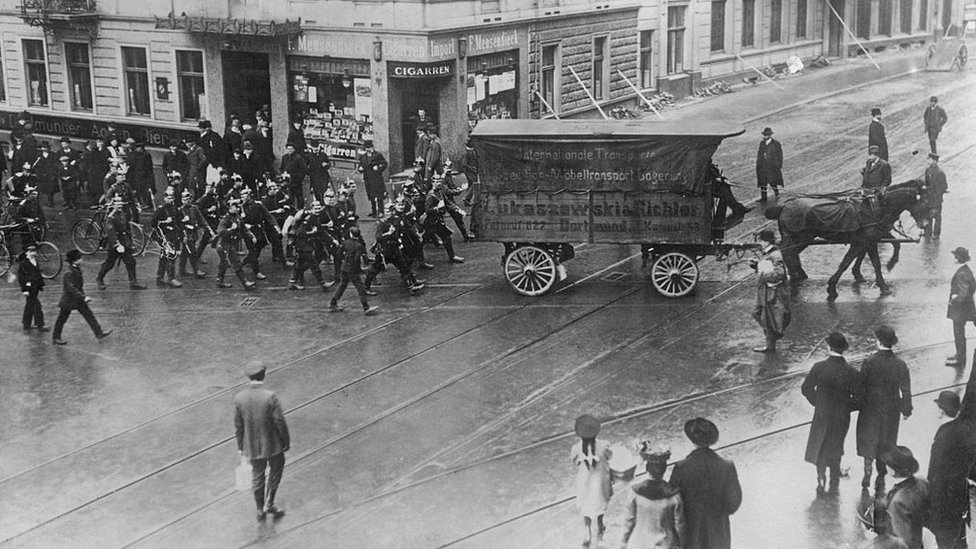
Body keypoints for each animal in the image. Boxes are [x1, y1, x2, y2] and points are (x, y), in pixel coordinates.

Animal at [764, 180, 932, 300]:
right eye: (924, 203)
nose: (925, 225)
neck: (877, 206)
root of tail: (783, 206)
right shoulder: (864, 241)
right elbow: (848, 262)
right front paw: (832, 288)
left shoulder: (871, 239)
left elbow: (880, 256)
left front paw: (884, 273)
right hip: (799, 237)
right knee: (786, 252)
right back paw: (793, 277)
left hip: (803, 238)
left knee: (789, 252)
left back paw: (797, 274)